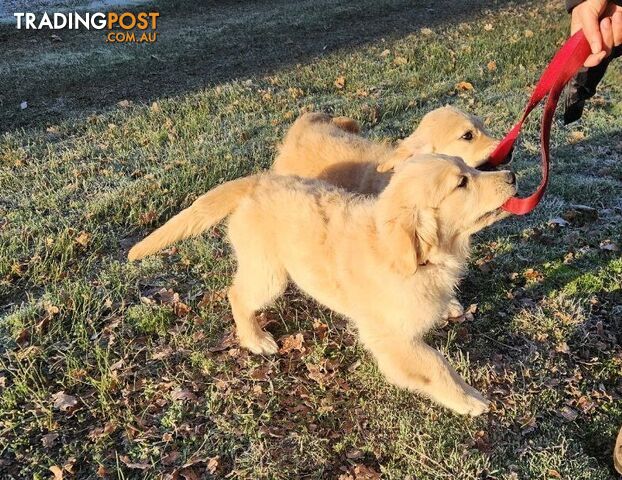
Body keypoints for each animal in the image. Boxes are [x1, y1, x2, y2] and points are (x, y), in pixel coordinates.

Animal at [129, 155, 520, 416]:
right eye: (461, 183)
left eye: (469, 168)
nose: (513, 175)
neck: (413, 258)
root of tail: (257, 181)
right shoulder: (389, 341)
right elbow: (437, 363)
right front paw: (467, 399)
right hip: (269, 274)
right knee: (237, 294)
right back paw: (255, 339)